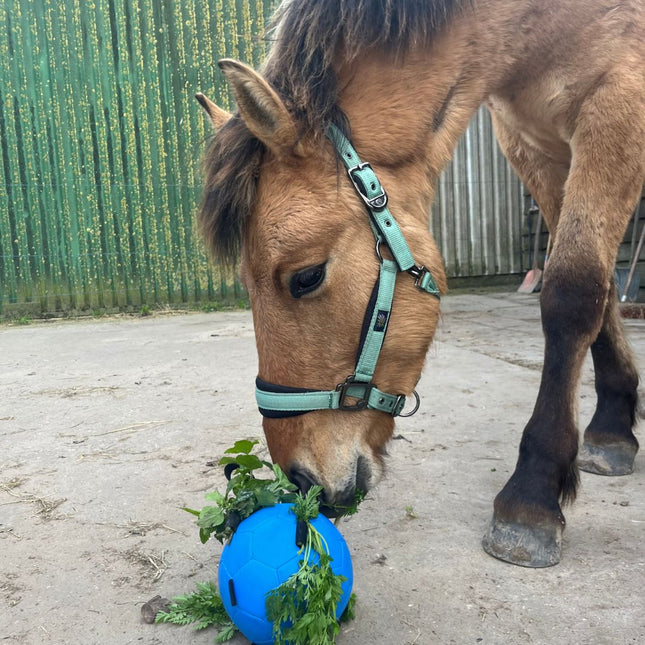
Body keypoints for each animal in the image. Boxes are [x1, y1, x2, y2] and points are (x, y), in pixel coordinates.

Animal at [196, 0, 644, 568]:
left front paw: (532, 496)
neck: (537, 28)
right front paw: (612, 428)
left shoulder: (618, 104)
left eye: (307, 277)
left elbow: (574, 291)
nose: (299, 481)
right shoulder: (533, 144)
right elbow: (601, 290)